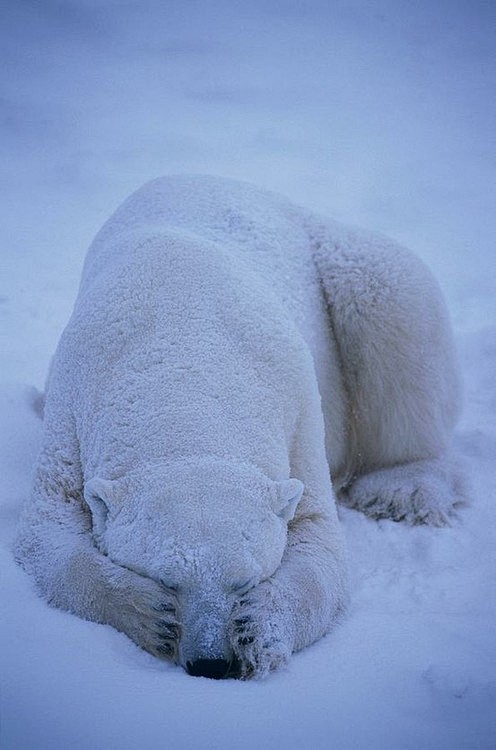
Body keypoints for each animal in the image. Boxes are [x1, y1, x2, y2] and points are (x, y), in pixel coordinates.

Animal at [16, 175, 464, 680]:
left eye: (245, 580)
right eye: (168, 579)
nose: (211, 663)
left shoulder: (298, 411)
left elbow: (318, 540)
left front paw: (259, 631)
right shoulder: (72, 402)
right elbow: (47, 532)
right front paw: (149, 615)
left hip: (339, 260)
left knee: (395, 306)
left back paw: (404, 490)